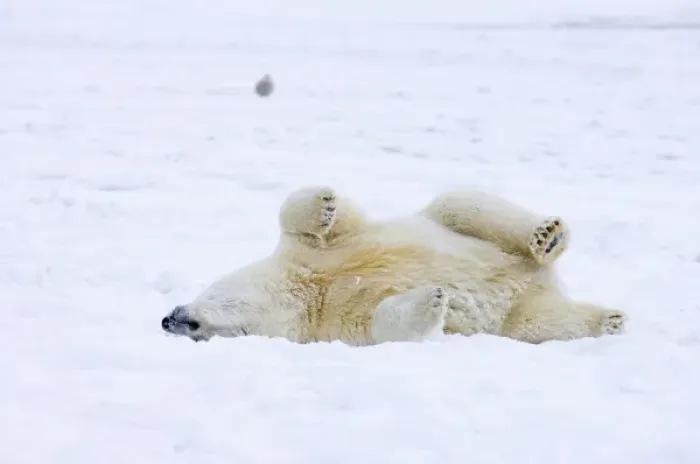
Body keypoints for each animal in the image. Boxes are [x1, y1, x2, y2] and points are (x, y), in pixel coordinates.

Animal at [161, 186, 627, 345]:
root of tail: (540, 281)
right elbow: (386, 323)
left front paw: (324, 201)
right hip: (521, 314)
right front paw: (434, 297)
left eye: (196, 322)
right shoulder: (337, 326)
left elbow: (330, 221)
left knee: (459, 202)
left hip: (461, 224)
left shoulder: (324, 251)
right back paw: (608, 319)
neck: (311, 291)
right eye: (201, 336)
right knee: (539, 323)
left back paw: (546, 236)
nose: (169, 319)